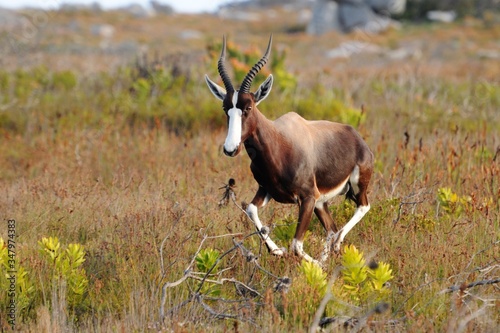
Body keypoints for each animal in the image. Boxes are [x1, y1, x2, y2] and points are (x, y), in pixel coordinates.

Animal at [205, 36, 374, 264]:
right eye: (225, 108)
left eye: (248, 107)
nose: (230, 149)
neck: (280, 144)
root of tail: (356, 136)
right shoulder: (266, 190)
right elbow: (250, 209)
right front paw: (276, 250)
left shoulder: (307, 197)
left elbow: (295, 245)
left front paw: (312, 265)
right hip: (321, 203)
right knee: (331, 229)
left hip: (354, 187)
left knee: (361, 208)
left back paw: (337, 245)